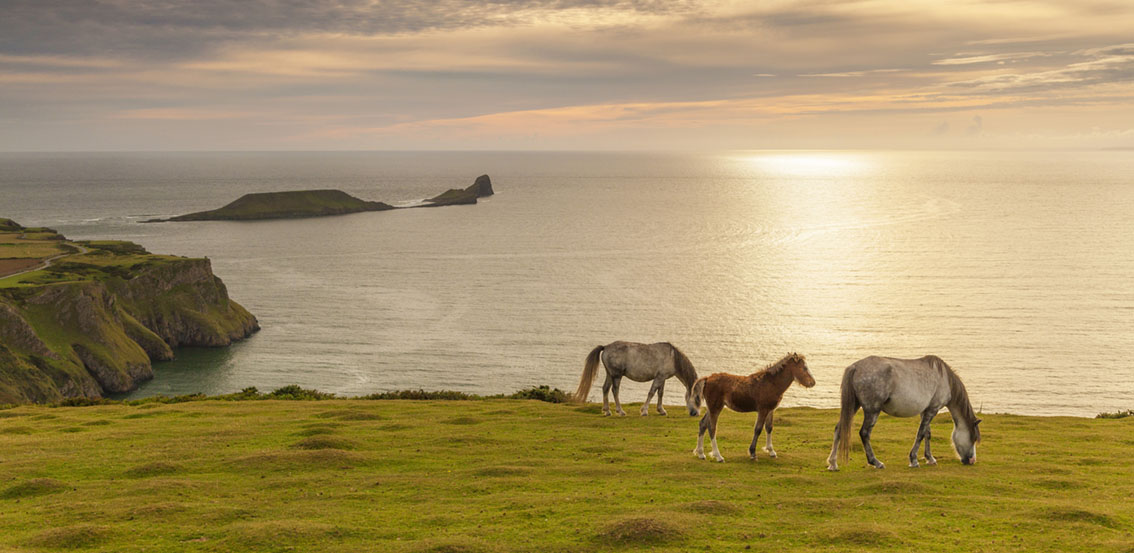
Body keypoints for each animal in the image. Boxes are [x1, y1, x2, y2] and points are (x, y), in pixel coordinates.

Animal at [830, 353, 979, 471]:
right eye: (973, 438)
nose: (972, 461)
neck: (945, 379)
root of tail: (855, 367)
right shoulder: (933, 409)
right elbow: (920, 434)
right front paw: (913, 460)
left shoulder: (926, 410)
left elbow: (927, 433)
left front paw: (930, 458)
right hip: (872, 410)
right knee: (865, 433)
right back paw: (876, 462)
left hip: (854, 406)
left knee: (839, 429)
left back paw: (833, 464)